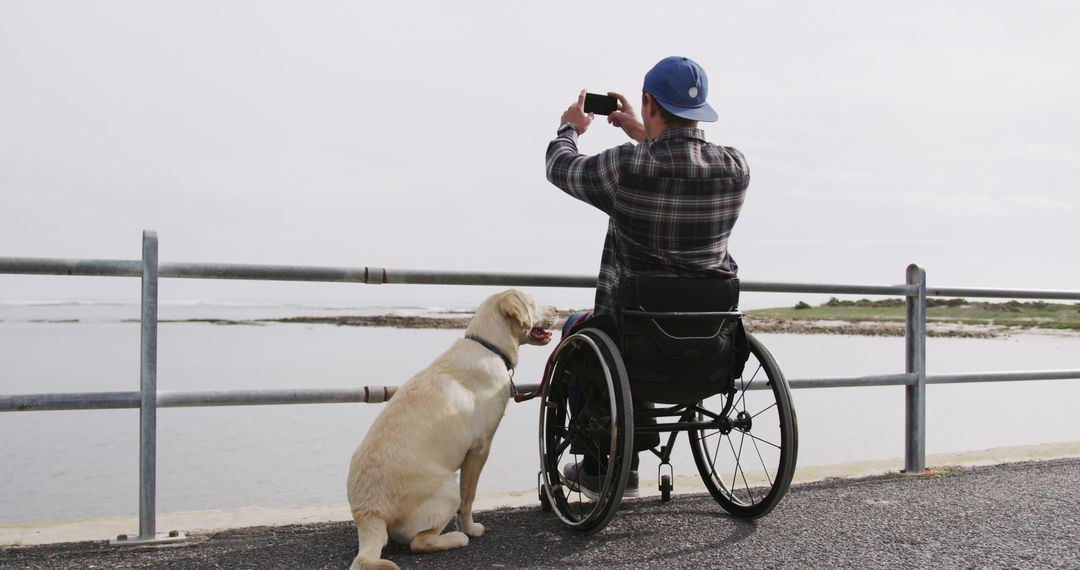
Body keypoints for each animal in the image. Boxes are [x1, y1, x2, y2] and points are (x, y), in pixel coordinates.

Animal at [345, 289, 557, 570]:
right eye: (532, 303)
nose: (557, 309)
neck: (489, 346)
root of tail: (370, 512)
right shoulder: (480, 448)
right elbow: (469, 496)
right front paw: (470, 529)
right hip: (447, 488)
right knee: (419, 541)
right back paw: (457, 537)